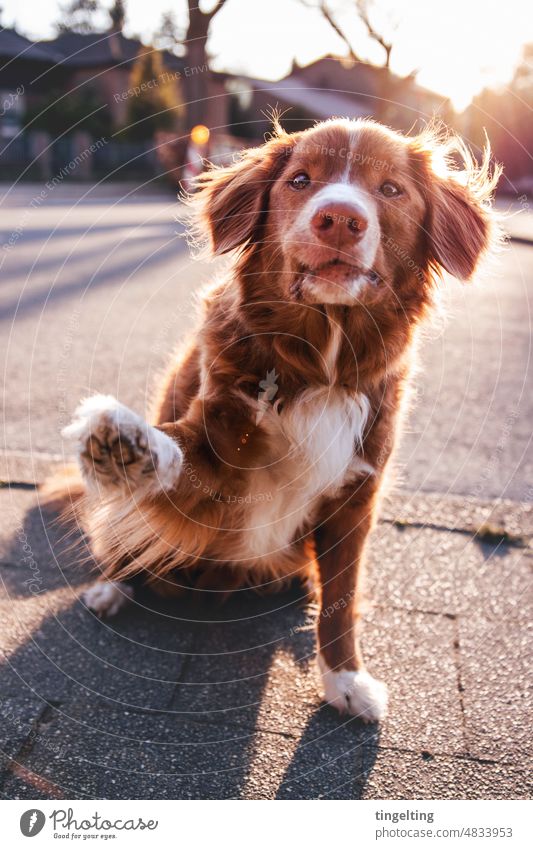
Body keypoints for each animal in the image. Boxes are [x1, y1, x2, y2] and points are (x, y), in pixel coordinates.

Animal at [60, 116, 500, 720]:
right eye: (300, 180)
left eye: (390, 189)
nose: (339, 218)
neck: (320, 363)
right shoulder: (218, 467)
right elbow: (174, 452)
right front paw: (126, 443)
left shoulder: (358, 496)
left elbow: (342, 599)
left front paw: (346, 681)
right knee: (124, 535)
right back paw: (112, 586)